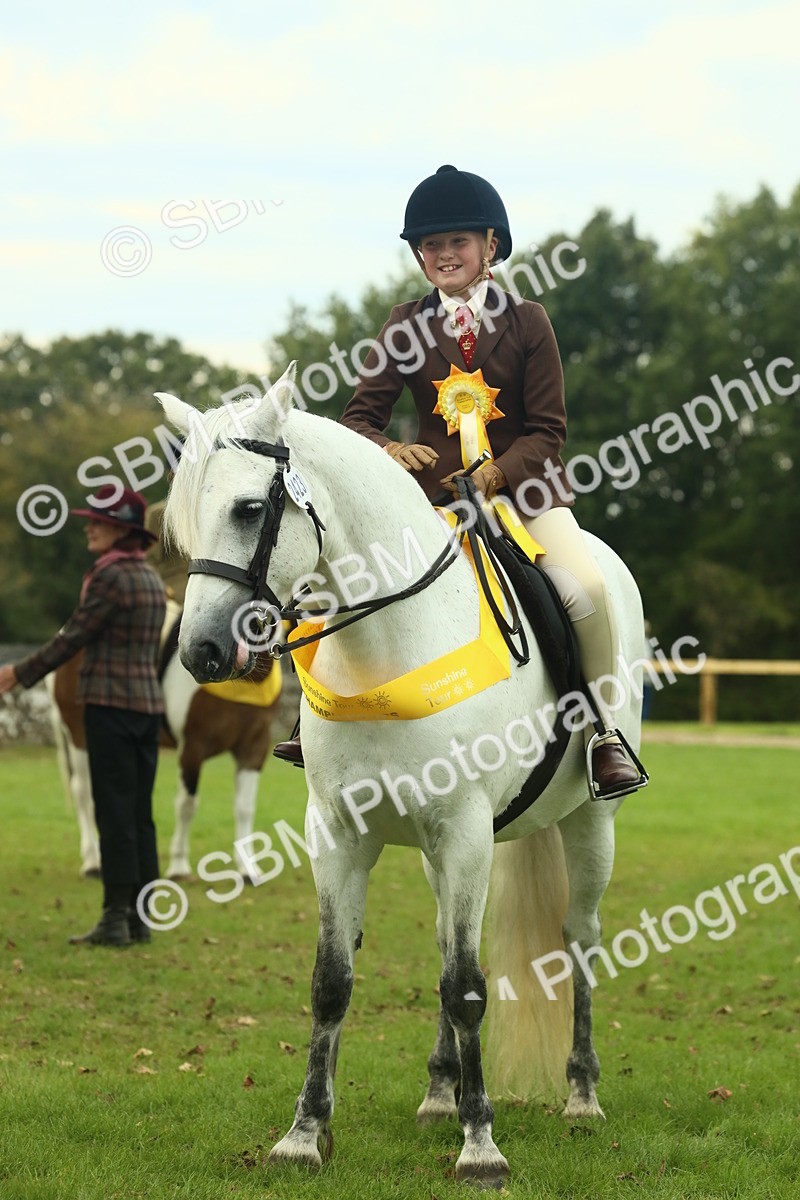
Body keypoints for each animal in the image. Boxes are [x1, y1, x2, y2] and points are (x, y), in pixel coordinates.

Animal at [48, 635, 281, 881]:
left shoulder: (254, 748)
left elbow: (244, 807)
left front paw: (247, 868)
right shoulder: (192, 747)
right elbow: (186, 806)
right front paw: (178, 866)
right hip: (79, 737)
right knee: (84, 793)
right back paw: (93, 861)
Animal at [157, 365, 646, 1187]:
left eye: (250, 508)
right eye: (184, 521)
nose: (201, 654)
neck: (388, 648)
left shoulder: (465, 833)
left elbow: (468, 986)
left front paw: (481, 1147)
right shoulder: (341, 835)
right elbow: (334, 983)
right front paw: (304, 1134)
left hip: (591, 824)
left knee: (577, 938)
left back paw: (580, 1095)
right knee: (455, 942)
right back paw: (441, 1092)